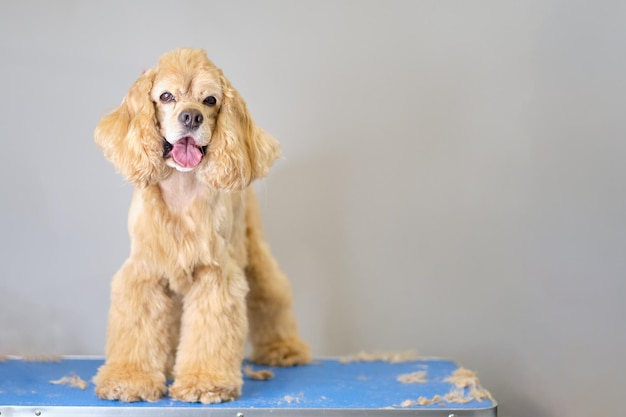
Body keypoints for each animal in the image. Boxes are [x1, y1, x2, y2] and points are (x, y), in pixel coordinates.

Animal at [92, 48, 310, 404]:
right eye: (166, 96)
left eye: (210, 100)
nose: (192, 117)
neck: (182, 191)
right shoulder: (146, 271)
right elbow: (139, 328)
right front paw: (129, 380)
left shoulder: (215, 274)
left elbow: (210, 332)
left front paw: (205, 382)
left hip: (254, 252)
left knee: (272, 294)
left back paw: (284, 348)